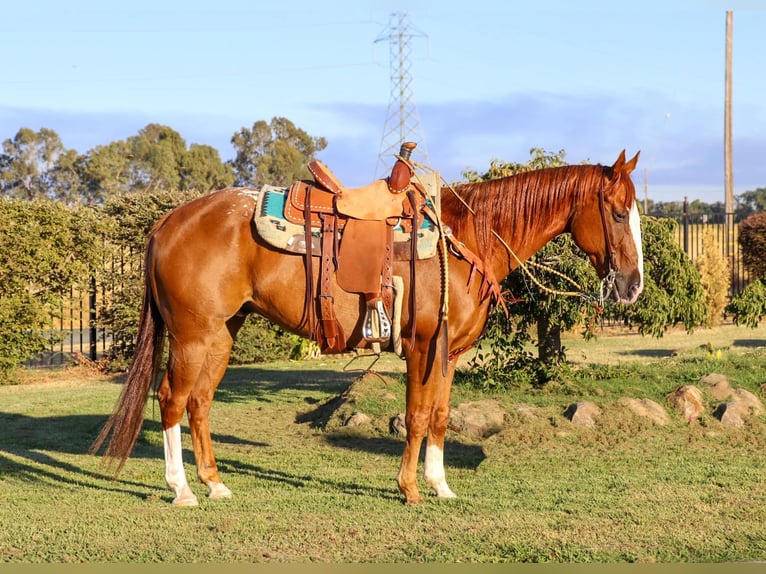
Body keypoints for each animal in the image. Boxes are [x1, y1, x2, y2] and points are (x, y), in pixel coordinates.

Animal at [91, 149, 643, 506]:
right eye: (618, 214)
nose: (633, 285)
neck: (465, 237)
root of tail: (168, 221)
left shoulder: (448, 352)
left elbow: (441, 416)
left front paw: (441, 485)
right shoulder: (421, 346)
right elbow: (417, 417)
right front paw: (410, 489)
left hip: (223, 333)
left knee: (200, 402)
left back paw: (215, 483)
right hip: (192, 335)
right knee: (172, 399)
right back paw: (182, 489)